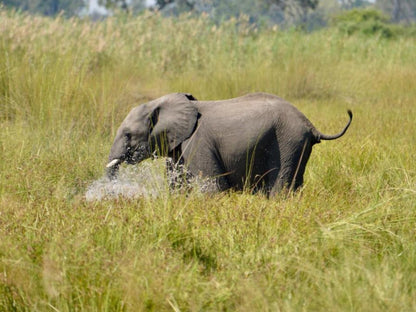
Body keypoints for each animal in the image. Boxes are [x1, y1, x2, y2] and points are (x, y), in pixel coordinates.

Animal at [105, 91, 352, 196]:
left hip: (289, 142)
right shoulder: (179, 148)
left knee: (281, 187)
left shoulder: (198, 142)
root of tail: (311, 126)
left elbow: (213, 187)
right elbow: (176, 184)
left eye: (127, 135)